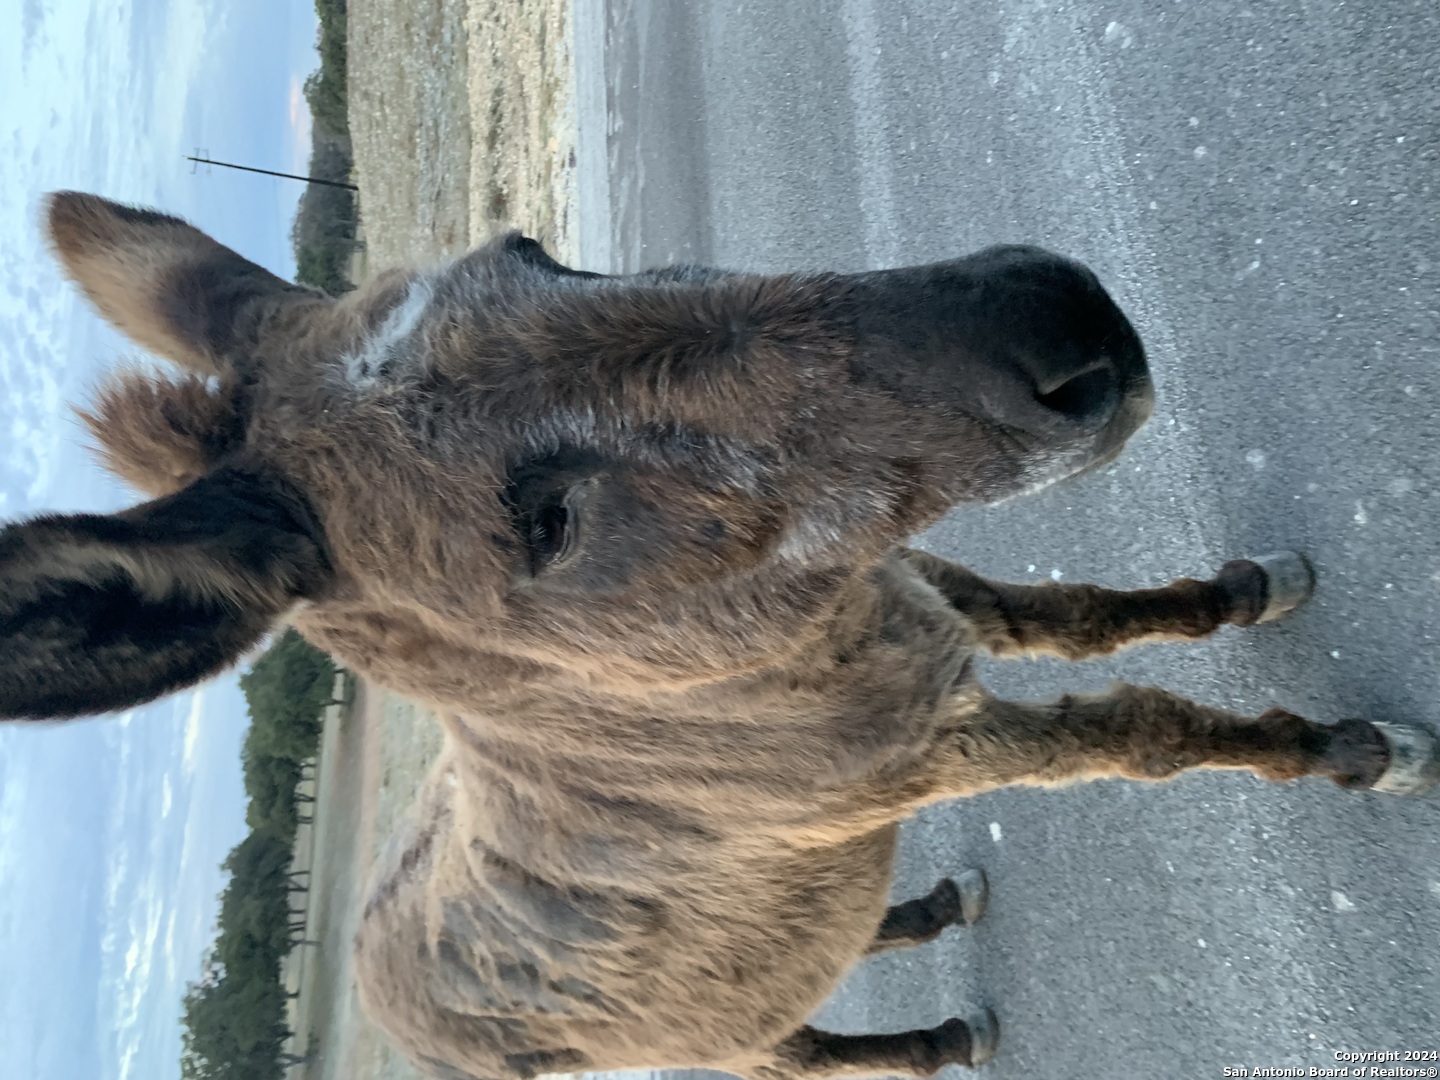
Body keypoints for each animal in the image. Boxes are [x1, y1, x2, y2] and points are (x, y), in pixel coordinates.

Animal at [3, 192, 1436, 1080]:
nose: (1065, 325)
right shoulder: (921, 751)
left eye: (540, 252)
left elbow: (1084, 620)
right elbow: (1142, 733)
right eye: (548, 523)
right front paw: (1349, 752)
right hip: (715, 1045)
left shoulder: (928, 603)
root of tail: (373, 984)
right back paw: (933, 1040)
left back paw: (913, 910)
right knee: (807, 1053)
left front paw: (1242, 594)